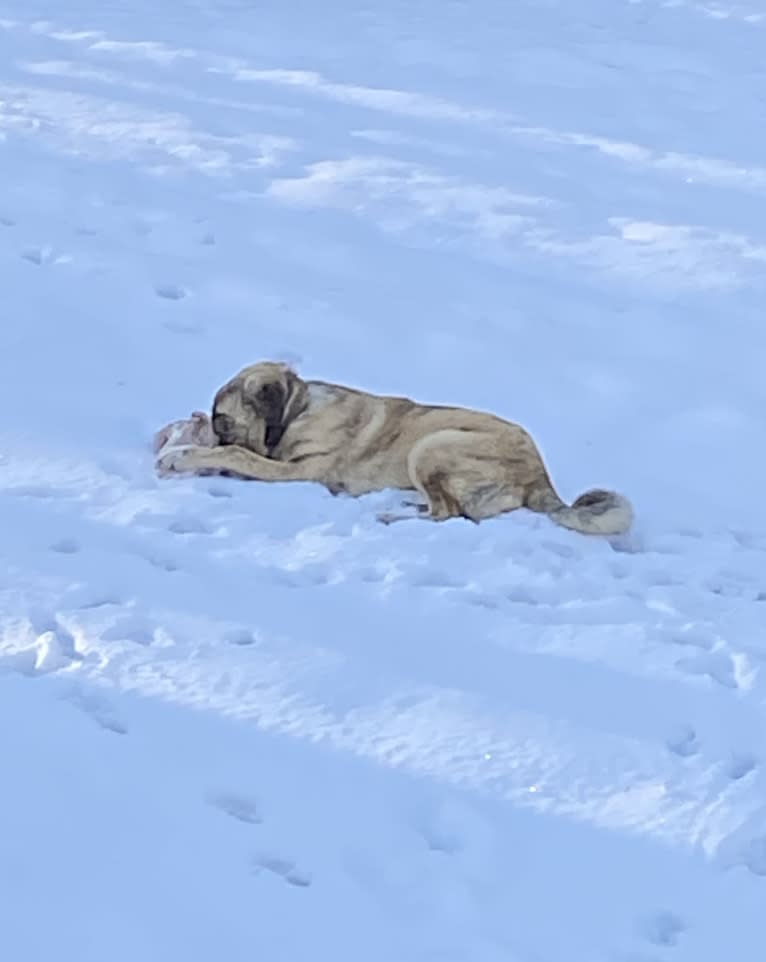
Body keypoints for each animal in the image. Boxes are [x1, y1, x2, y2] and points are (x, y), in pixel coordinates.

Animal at [156, 364, 636, 536]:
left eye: (221, 419)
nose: (201, 423)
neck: (298, 409)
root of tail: (541, 478)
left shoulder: (298, 471)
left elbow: (238, 455)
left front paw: (182, 456)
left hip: (432, 444)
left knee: (450, 515)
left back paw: (393, 515)